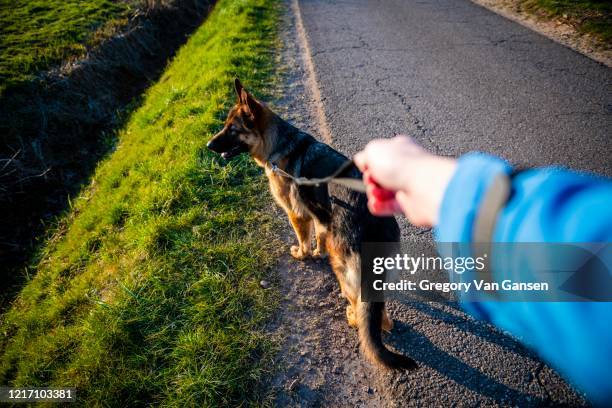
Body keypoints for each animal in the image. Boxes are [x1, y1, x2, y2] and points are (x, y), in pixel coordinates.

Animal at [208, 79, 418, 370]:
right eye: (225, 126)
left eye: (232, 129)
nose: (208, 145)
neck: (279, 143)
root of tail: (373, 224)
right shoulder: (320, 218)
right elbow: (319, 236)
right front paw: (317, 251)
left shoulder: (296, 215)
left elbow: (303, 239)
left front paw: (303, 254)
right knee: (382, 316)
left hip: (343, 267)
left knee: (362, 305)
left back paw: (351, 315)